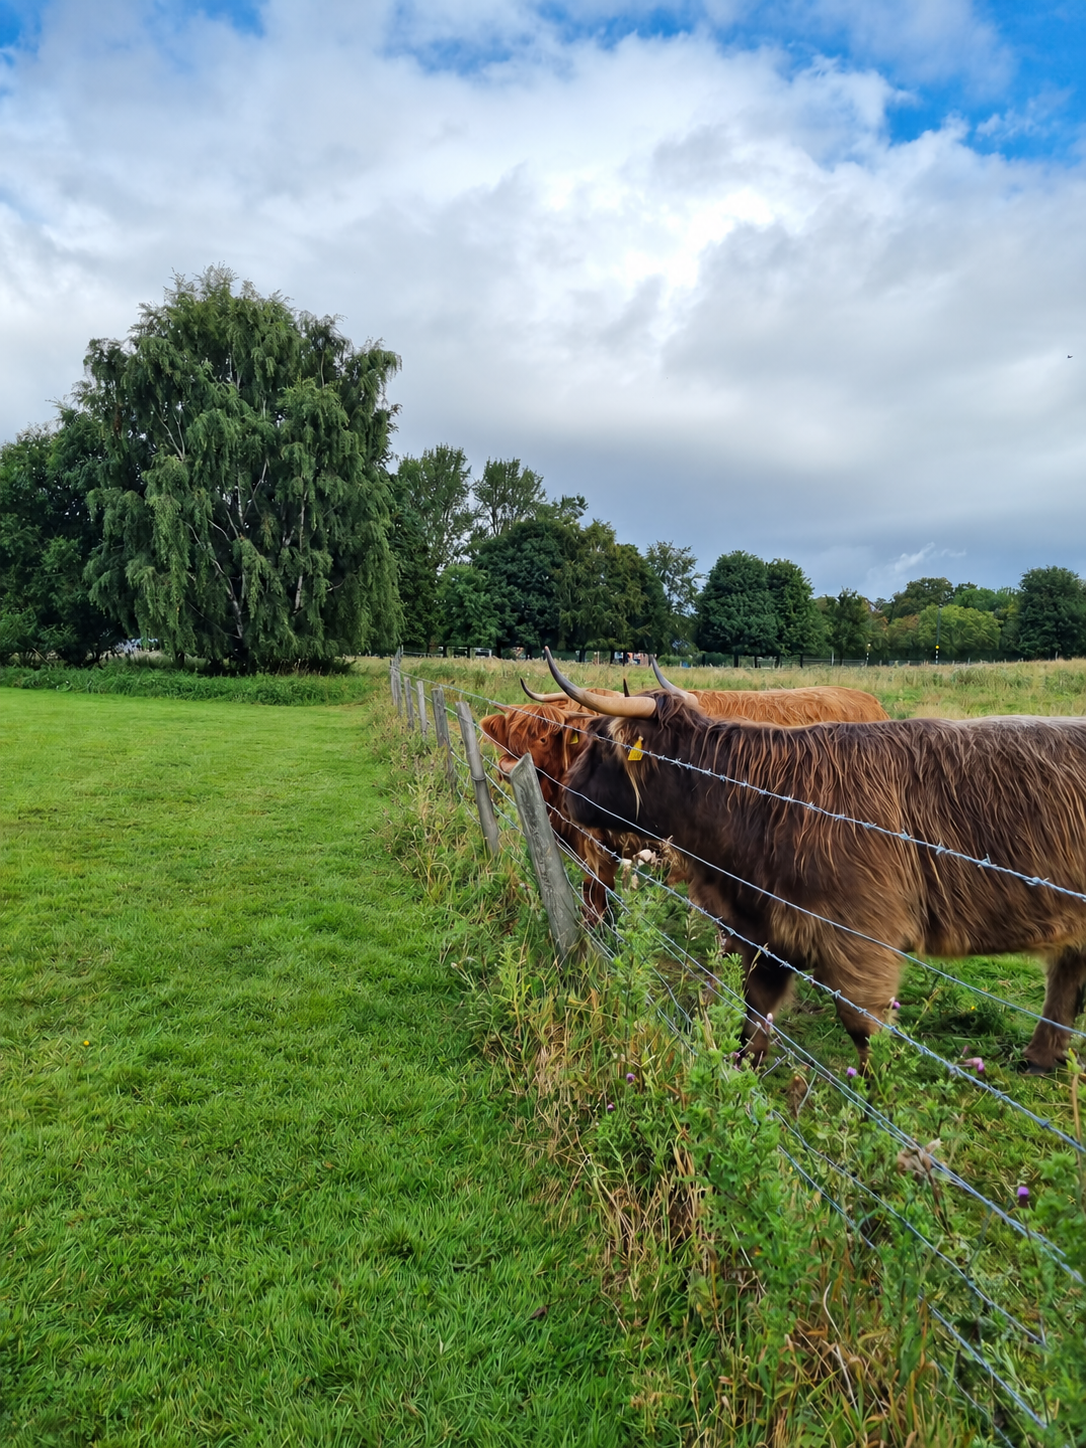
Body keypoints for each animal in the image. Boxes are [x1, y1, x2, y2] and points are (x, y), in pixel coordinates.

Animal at [545, 651, 1086, 1074]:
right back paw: (1040, 1058)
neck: (759, 805)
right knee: (1067, 974)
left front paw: (875, 1107)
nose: (567, 793)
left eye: (599, 742)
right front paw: (744, 1074)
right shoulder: (768, 929)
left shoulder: (863, 939)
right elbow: (755, 1011)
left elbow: (864, 1028)